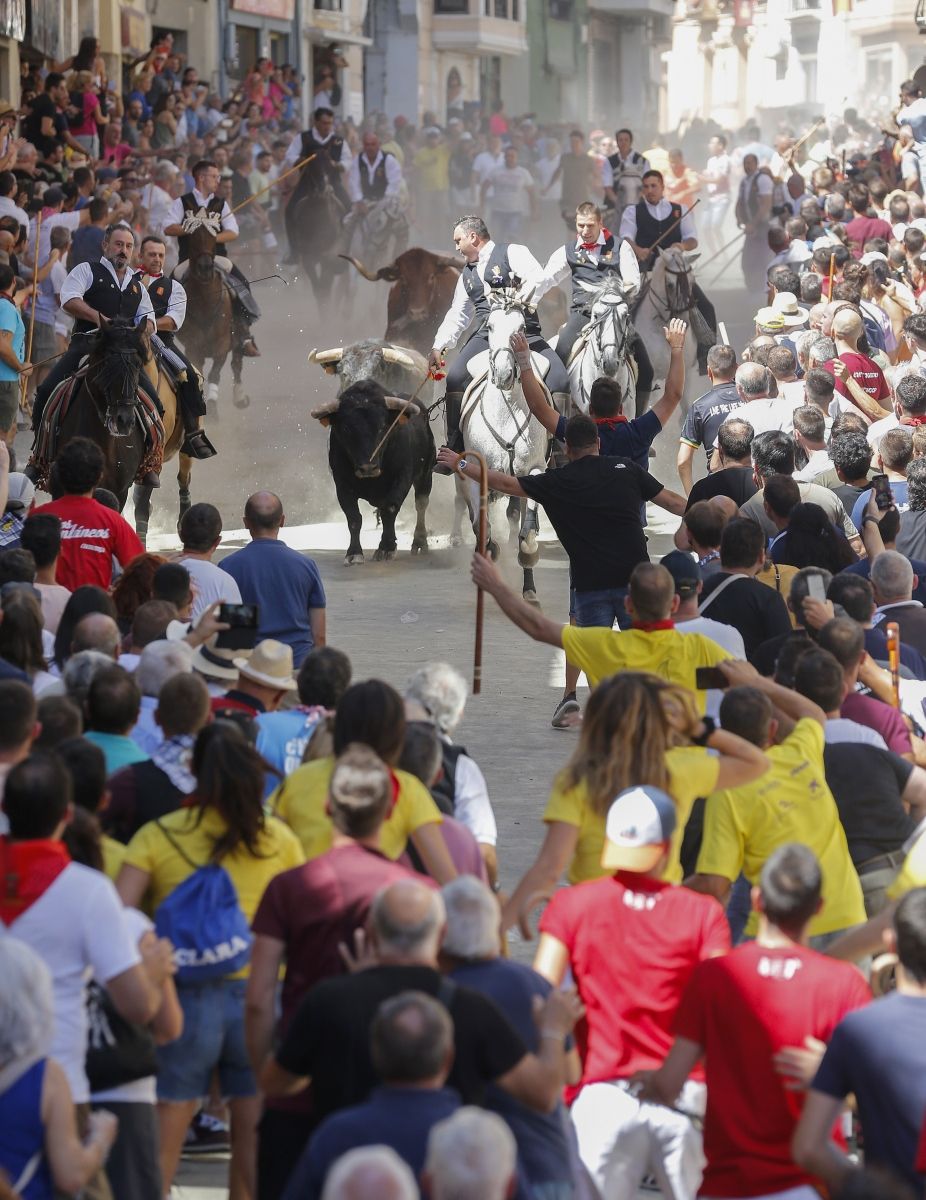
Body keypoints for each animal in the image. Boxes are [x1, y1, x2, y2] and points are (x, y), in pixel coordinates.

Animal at [175, 225, 248, 412]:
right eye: (192, 238)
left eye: (214, 237)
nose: (205, 267)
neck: (205, 302)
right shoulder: (193, 347)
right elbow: (198, 371)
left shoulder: (222, 344)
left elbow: (215, 373)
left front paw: (213, 407)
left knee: (237, 363)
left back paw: (240, 397)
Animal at [309, 388, 436, 566]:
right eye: (346, 428)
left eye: (383, 426)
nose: (368, 467)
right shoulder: (342, 486)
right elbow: (354, 517)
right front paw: (354, 553)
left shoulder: (402, 478)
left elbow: (390, 509)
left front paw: (386, 548)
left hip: (425, 474)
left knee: (421, 505)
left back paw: (419, 543)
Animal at [451, 289, 549, 604]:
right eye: (491, 327)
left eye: (522, 327)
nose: (505, 374)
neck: (507, 411)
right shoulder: (473, 473)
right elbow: (481, 528)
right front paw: (490, 553)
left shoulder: (533, 471)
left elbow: (527, 537)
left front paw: (529, 585)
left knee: (516, 519)